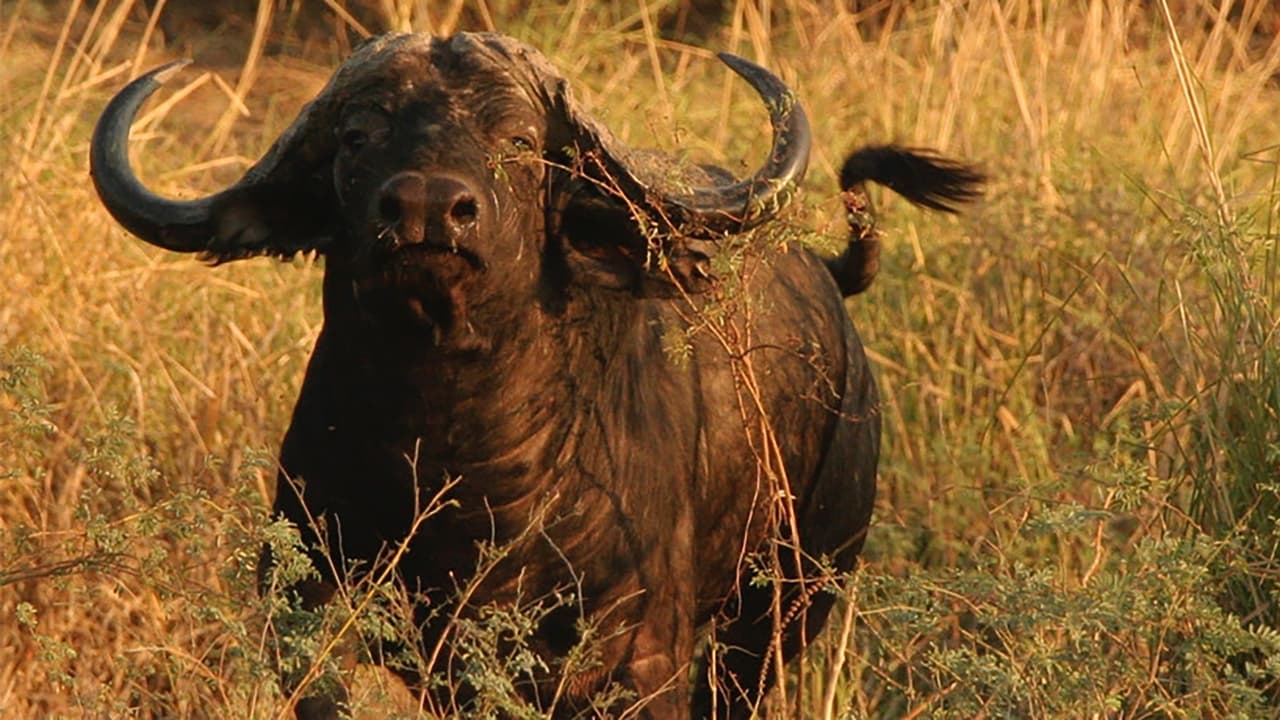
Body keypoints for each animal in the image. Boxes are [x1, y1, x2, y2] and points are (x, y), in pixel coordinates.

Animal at [92, 30, 977, 712]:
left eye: (517, 142)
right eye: (356, 138)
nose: (427, 209)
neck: (454, 453)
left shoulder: (638, 658)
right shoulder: (314, 616)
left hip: (786, 604)